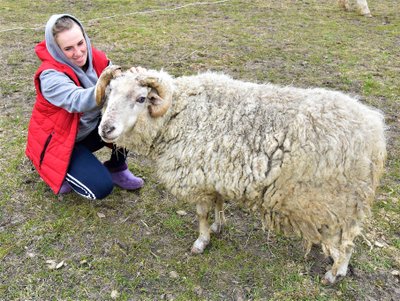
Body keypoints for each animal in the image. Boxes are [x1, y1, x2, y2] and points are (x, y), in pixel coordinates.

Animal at [95, 64, 386, 282]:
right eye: (109, 93)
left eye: (141, 98)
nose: (105, 129)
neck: (179, 113)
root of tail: (375, 132)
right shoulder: (213, 175)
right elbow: (219, 204)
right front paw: (218, 225)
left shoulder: (198, 178)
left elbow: (201, 214)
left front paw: (201, 241)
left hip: (339, 201)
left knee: (347, 241)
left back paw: (335, 273)